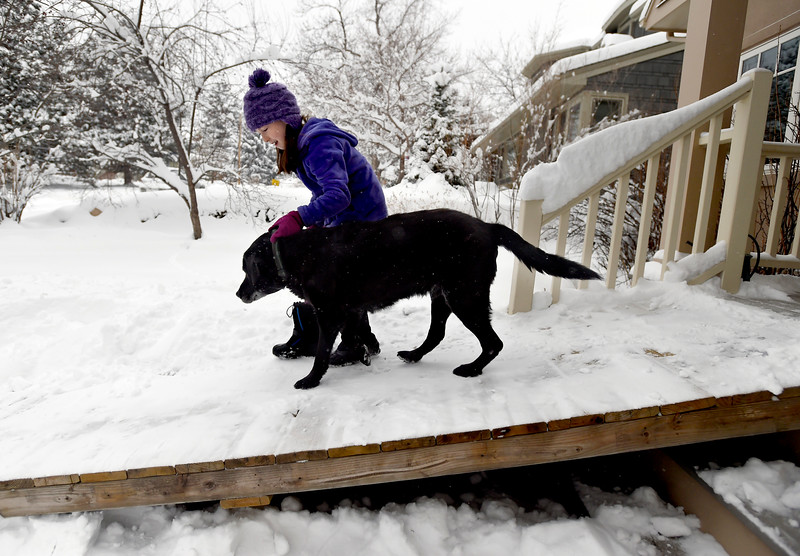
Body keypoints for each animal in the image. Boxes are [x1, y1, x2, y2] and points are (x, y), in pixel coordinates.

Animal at [238, 206, 600, 388]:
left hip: (464, 296)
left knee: (492, 342)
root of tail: (487, 226)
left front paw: (311, 380)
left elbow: (322, 354)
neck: (298, 255)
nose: (239, 293)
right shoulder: (350, 310)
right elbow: (357, 336)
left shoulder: (330, 314)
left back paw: (471, 370)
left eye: (246, 269)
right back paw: (413, 355)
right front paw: (362, 354)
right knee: (437, 333)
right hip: (443, 295)